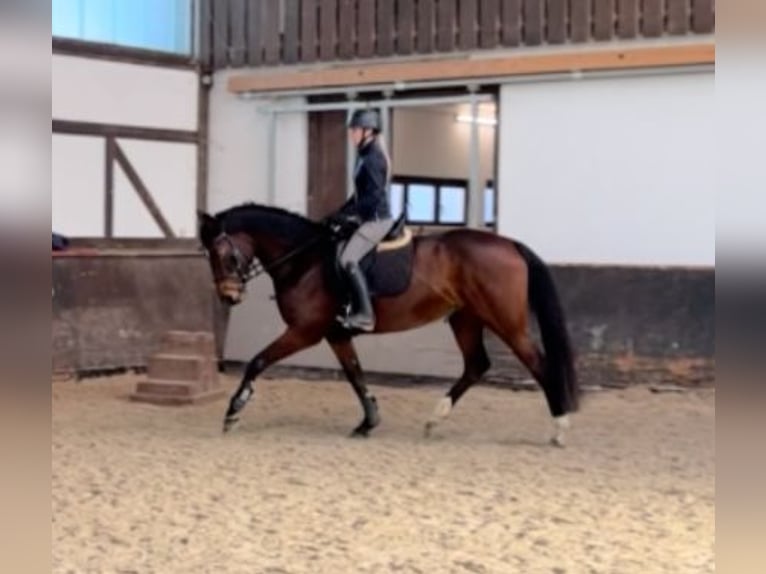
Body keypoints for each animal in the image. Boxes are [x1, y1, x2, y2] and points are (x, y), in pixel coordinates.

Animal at [198, 205, 584, 448]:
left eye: (224, 254)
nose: (229, 296)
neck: (305, 260)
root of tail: (510, 244)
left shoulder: (305, 331)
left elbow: (258, 361)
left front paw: (233, 412)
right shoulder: (335, 334)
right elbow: (355, 376)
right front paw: (368, 423)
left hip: (505, 321)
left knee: (539, 365)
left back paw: (560, 429)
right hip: (465, 318)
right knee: (477, 365)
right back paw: (435, 419)